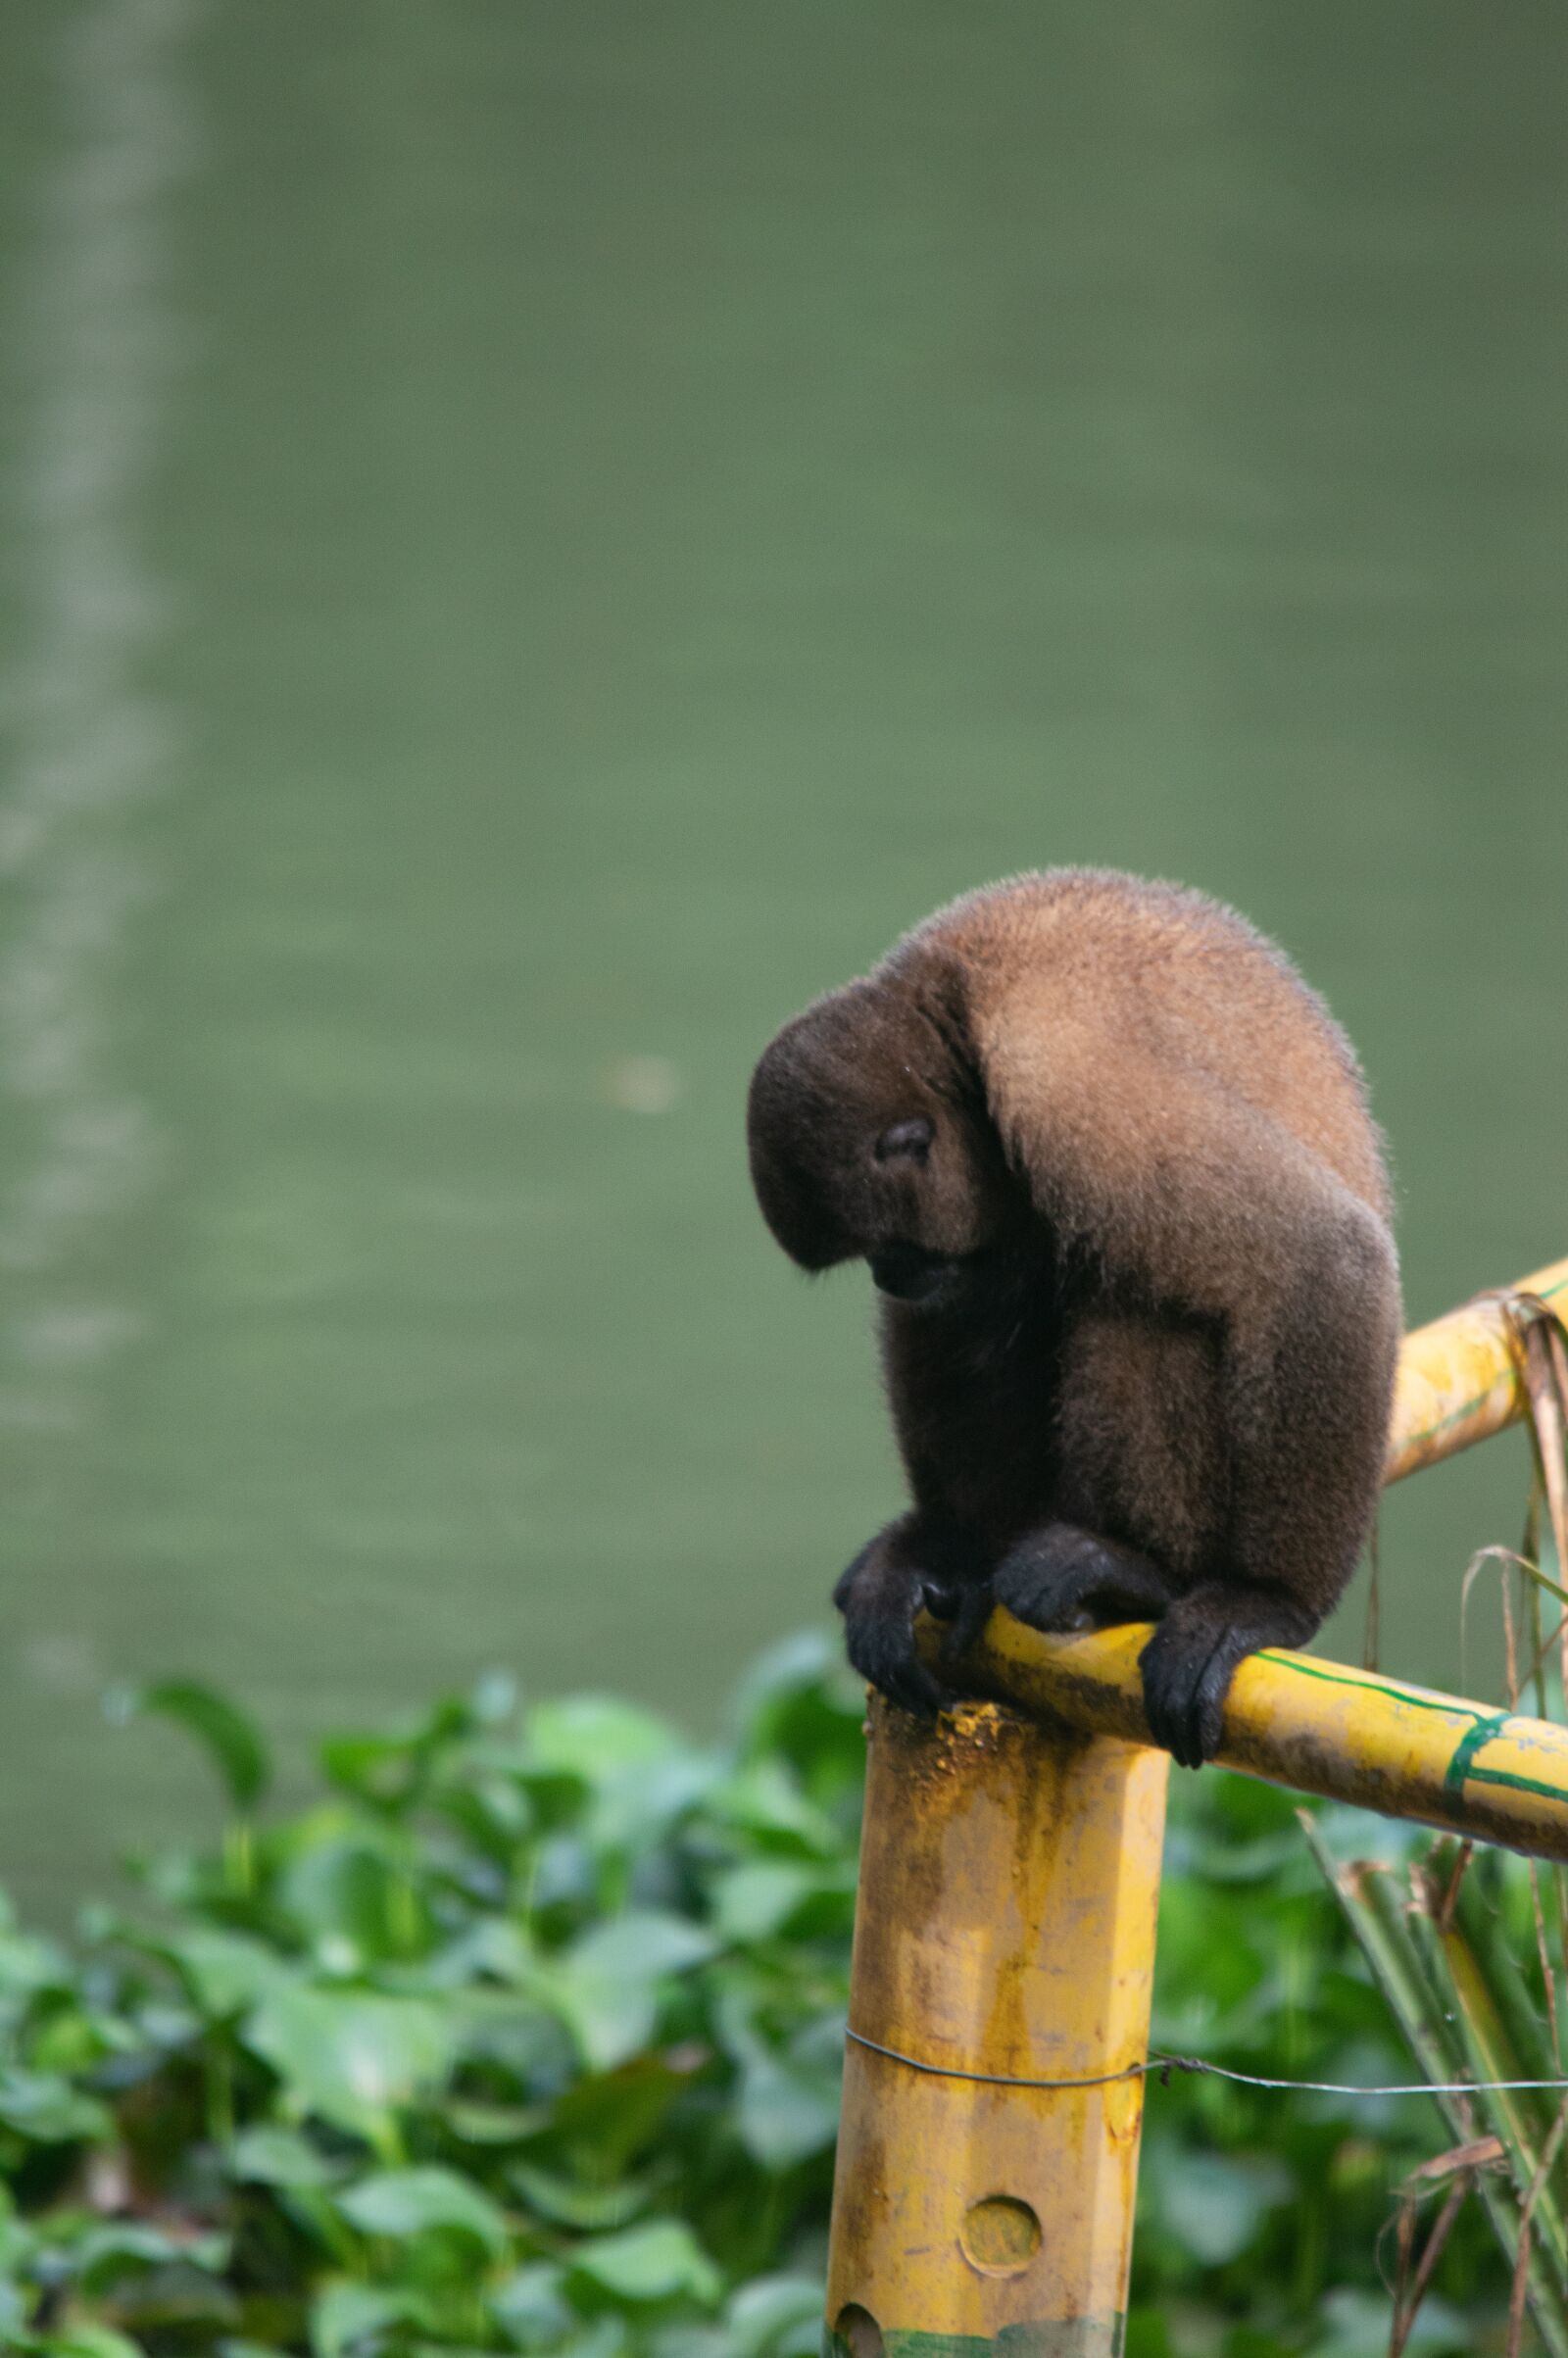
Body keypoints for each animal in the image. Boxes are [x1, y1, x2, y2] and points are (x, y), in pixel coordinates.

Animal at [746, 869, 1400, 1769]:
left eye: (888, 1247)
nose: (888, 1271)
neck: (951, 1011)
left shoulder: (1071, 1089)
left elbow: (1322, 1258)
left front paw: (1267, 1601)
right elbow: (962, 1314)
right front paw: (947, 1546)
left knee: (1142, 1312)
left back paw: (1143, 1576)